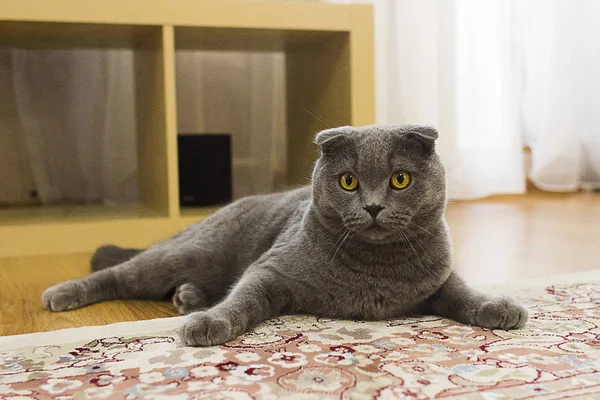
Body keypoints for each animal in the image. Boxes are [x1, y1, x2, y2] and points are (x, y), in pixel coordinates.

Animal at [42, 126, 528, 346]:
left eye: (400, 179)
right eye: (348, 181)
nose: (372, 207)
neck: (375, 269)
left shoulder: (438, 278)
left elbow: (462, 292)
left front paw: (500, 308)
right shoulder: (271, 270)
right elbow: (242, 299)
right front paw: (209, 324)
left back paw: (188, 297)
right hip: (191, 252)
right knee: (121, 273)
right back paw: (63, 293)